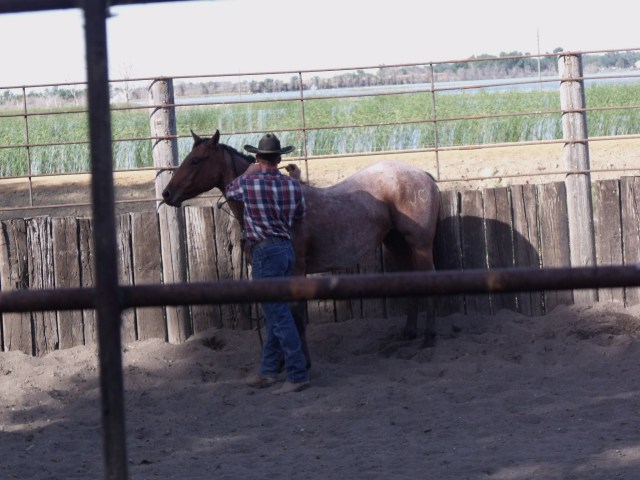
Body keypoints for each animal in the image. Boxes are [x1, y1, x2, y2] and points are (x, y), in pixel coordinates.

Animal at [161, 129, 441, 362]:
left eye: (196, 160)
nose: (167, 193)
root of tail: (423, 175)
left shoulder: (295, 272)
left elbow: (297, 318)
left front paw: (302, 362)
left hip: (420, 246)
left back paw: (428, 338)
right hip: (396, 243)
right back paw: (408, 333)